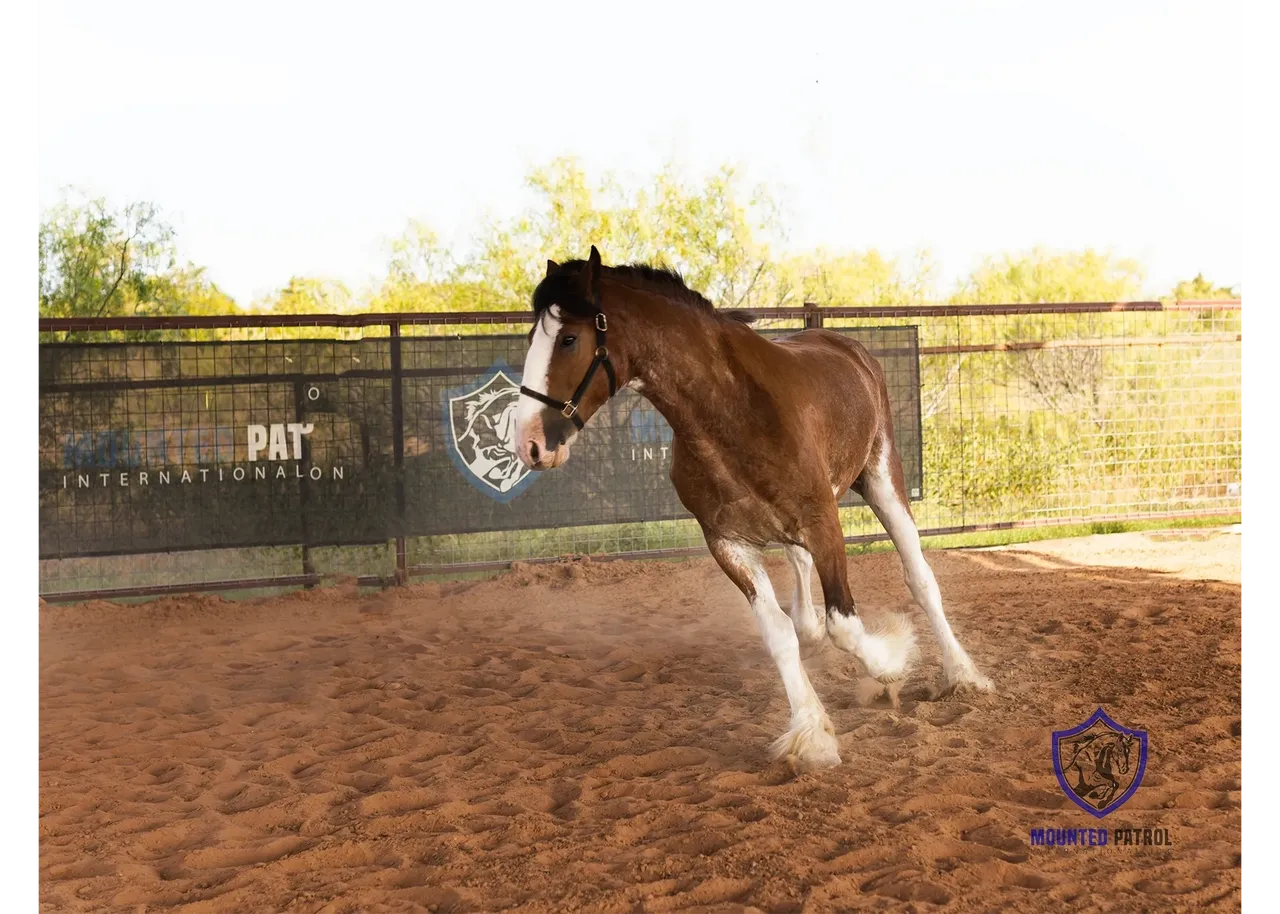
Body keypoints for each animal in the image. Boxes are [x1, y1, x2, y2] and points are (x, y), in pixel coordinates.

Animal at [510, 246, 993, 772]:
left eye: (569, 338)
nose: (529, 444)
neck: (732, 411)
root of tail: (848, 348)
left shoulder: (823, 522)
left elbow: (846, 625)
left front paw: (892, 662)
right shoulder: (728, 543)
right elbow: (779, 634)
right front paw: (812, 734)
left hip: (883, 480)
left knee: (920, 579)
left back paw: (962, 674)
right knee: (801, 581)